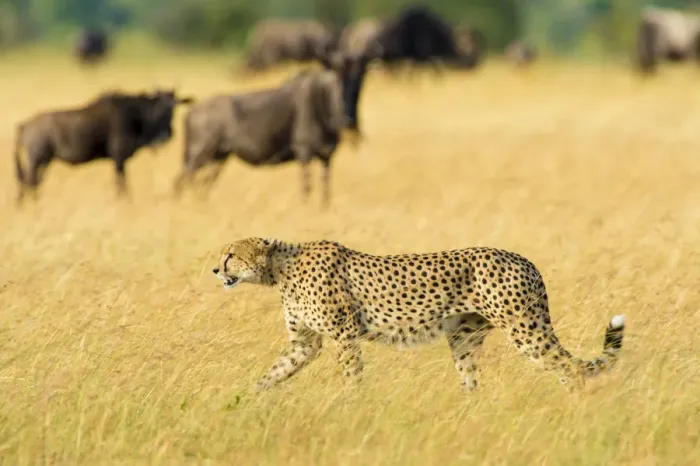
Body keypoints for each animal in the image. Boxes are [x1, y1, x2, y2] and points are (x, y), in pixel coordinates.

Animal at [212, 237, 626, 392]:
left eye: (231, 254)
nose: (216, 269)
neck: (279, 269)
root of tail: (524, 259)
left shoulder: (344, 334)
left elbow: (351, 374)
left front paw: (350, 405)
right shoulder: (305, 343)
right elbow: (274, 372)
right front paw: (246, 399)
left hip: (524, 329)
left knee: (569, 368)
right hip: (463, 338)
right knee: (472, 381)